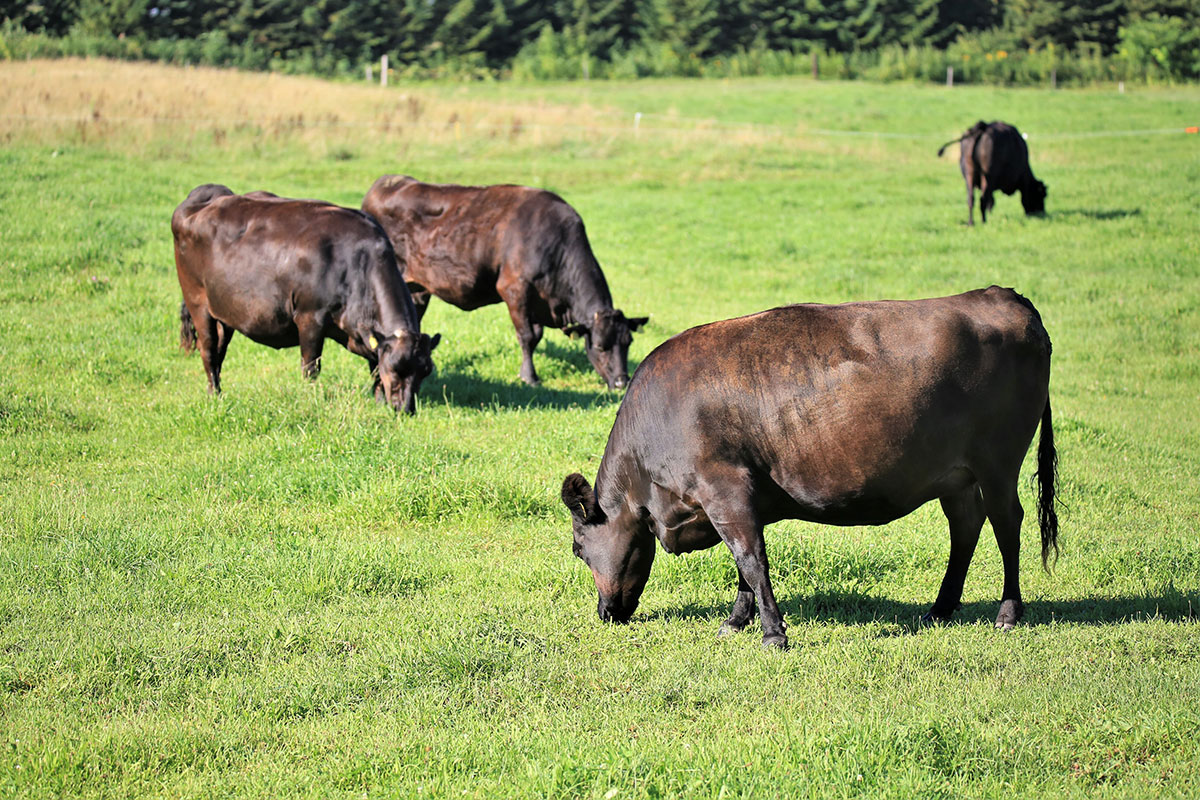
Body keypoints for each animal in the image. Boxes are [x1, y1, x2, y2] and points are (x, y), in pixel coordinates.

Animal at [173, 184, 440, 414]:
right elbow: (311, 367)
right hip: (197, 302)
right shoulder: (310, 318)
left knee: (219, 350)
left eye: (425, 371)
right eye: (395, 368)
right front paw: (311, 398)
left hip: (225, 312)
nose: (406, 409)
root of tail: (205, 196)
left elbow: (374, 369)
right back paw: (214, 396)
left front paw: (378, 403)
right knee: (208, 349)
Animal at [361, 175, 647, 390]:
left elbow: (536, 336)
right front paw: (529, 377)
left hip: (418, 289)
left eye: (628, 343)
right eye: (600, 346)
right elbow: (528, 337)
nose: (621, 382)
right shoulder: (514, 289)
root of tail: (388, 181)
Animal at [561, 287, 1058, 648]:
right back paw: (940, 608)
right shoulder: (739, 502)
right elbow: (744, 569)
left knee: (1007, 524)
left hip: (998, 462)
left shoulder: (725, 490)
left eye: (578, 550)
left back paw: (1008, 612)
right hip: (955, 476)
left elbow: (752, 561)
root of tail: (1004, 296)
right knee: (966, 525)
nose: (605, 614)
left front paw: (773, 634)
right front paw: (735, 622)